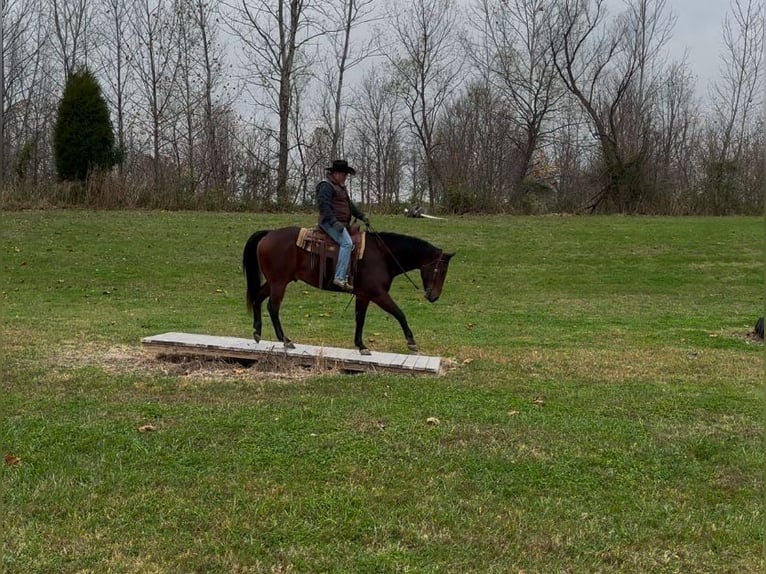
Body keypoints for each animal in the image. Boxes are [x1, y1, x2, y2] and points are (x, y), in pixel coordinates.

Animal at [243, 228, 452, 356]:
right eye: (441, 270)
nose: (434, 296)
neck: (383, 255)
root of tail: (268, 234)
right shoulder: (378, 294)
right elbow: (399, 313)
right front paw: (412, 343)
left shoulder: (363, 295)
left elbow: (360, 318)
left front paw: (361, 346)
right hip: (279, 283)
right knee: (273, 307)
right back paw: (285, 340)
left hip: (274, 282)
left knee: (257, 299)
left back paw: (257, 333)